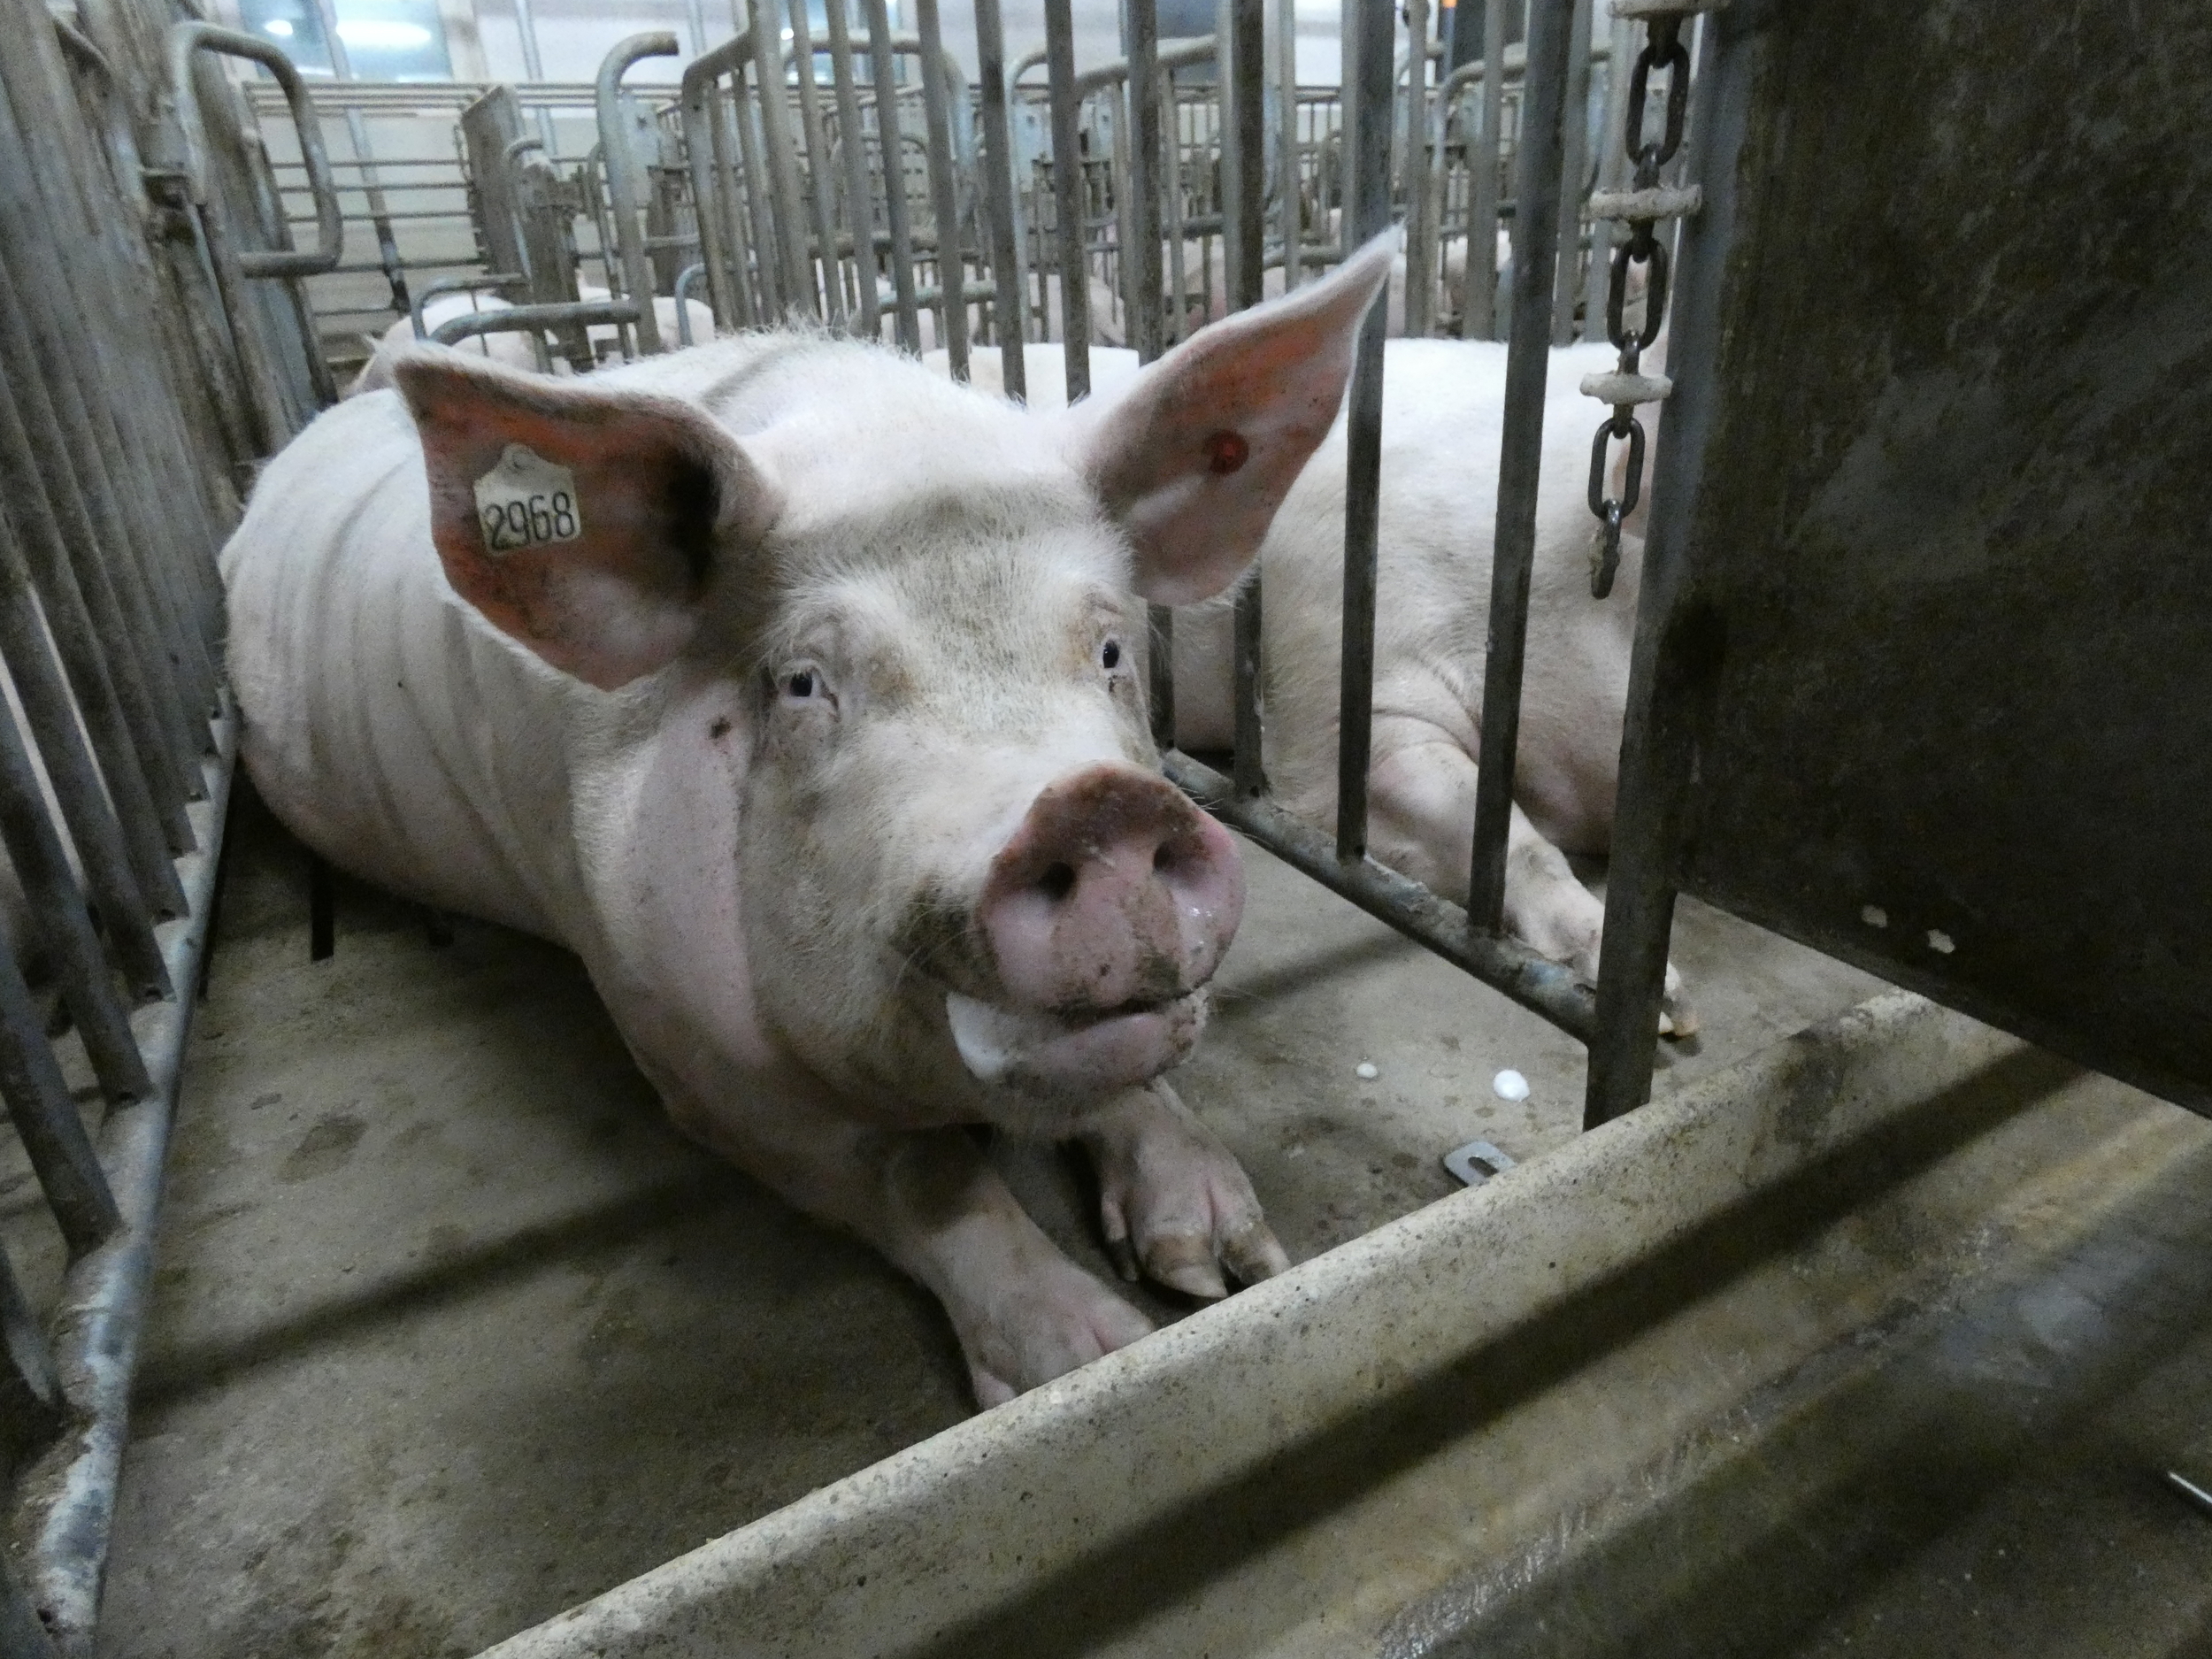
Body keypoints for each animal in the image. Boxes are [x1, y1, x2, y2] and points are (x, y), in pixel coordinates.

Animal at [224, 236, 1398, 1407]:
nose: (1098, 808)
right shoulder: (685, 1054)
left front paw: (1223, 1266)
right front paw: (1091, 1365)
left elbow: (1130, 1079)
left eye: (1110, 650)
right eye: (802, 684)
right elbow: (921, 1172)